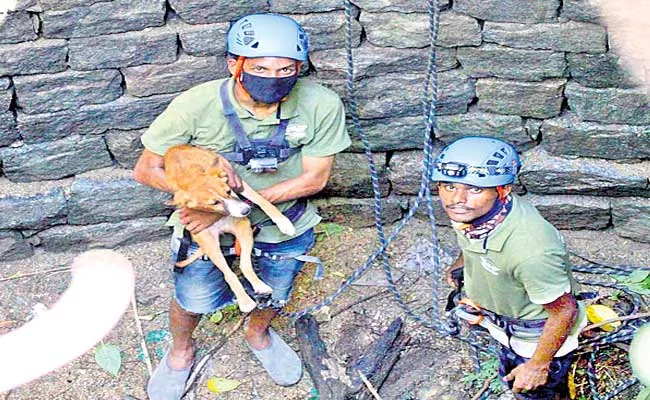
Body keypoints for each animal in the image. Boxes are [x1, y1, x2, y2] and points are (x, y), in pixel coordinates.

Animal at [163, 144, 294, 312]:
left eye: (228, 191)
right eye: (214, 203)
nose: (246, 211)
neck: (192, 175)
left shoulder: (241, 206)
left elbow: (261, 200)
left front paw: (283, 222)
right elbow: (229, 273)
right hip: (209, 243)